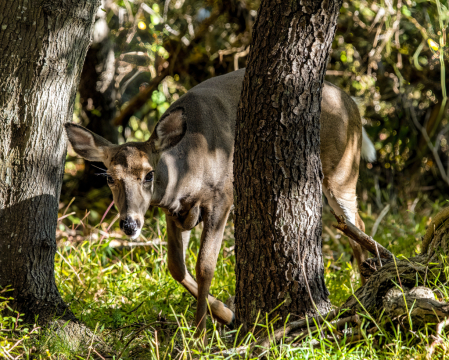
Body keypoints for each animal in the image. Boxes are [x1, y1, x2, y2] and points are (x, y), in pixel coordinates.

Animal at [65, 68, 376, 338]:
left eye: (149, 174)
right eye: (109, 177)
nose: (130, 224)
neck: (187, 171)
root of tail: (353, 102)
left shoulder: (222, 198)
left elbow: (205, 266)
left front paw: (200, 335)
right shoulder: (175, 213)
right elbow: (176, 266)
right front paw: (228, 314)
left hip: (341, 169)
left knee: (355, 224)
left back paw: (364, 295)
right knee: (353, 227)